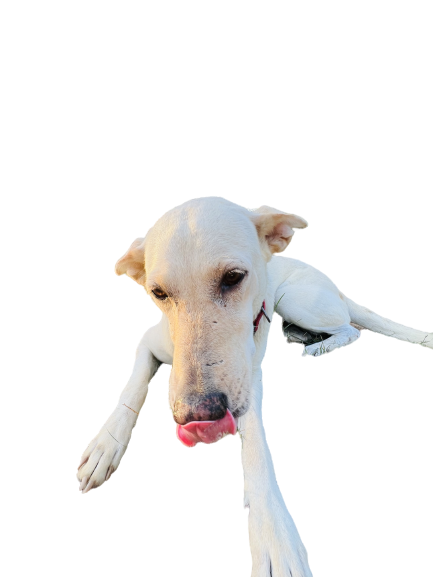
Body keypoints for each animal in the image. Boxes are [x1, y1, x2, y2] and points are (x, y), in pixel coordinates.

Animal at [77, 196, 432, 577]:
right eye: (158, 292)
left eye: (233, 278)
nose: (198, 414)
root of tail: (334, 284)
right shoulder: (149, 341)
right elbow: (132, 388)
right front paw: (105, 445)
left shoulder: (250, 379)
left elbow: (257, 449)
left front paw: (274, 532)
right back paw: (302, 336)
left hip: (296, 298)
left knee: (352, 329)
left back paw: (319, 345)